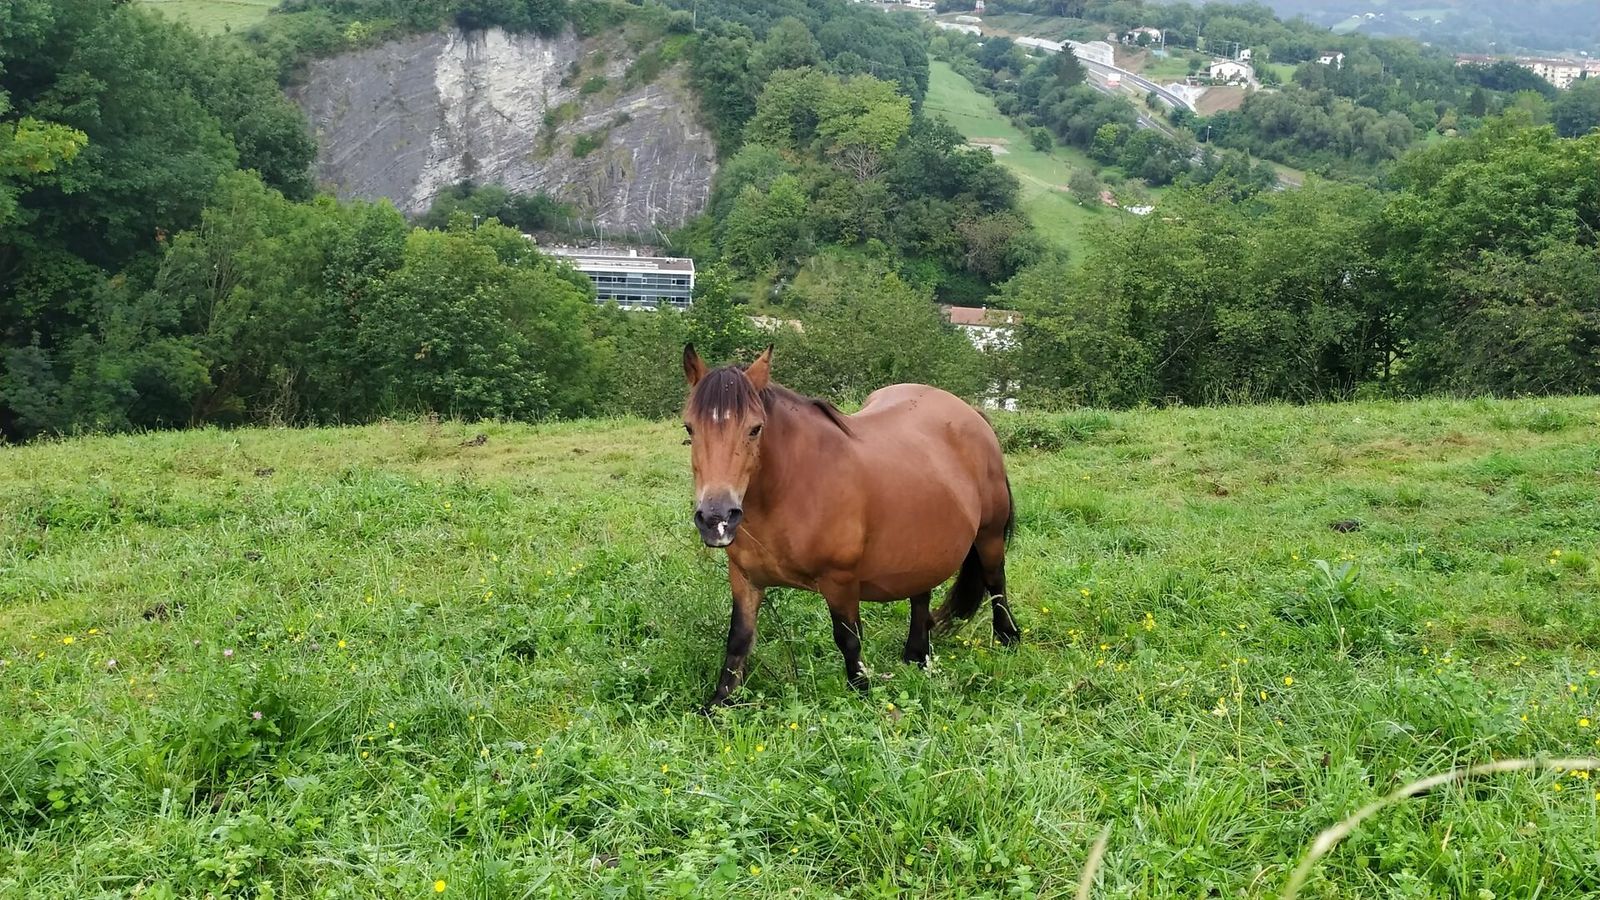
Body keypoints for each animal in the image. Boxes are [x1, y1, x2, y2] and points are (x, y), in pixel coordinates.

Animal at [681, 343, 1018, 708]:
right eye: (689, 429)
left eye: (755, 428)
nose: (716, 519)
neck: (794, 485)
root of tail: (971, 413)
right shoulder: (744, 579)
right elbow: (739, 639)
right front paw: (719, 704)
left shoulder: (840, 581)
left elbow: (848, 639)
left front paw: (863, 694)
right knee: (921, 594)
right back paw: (916, 656)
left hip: (989, 536)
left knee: (996, 582)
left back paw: (1008, 638)